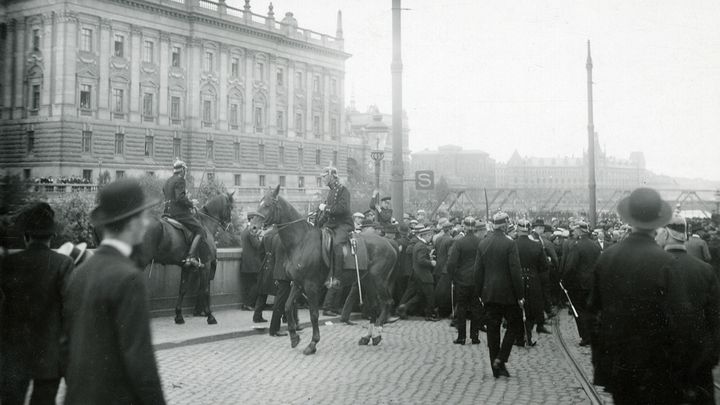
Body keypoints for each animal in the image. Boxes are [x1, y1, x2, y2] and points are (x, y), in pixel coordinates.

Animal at [134, 193, 233, 326]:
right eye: (230, 206)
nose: (228, 225)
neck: (205, 224)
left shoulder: (186, 267)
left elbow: (183, 289)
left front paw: (179, 316)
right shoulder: (206, 265)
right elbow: (205, 289)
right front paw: (210, 316)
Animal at [252, 185, 400, 354]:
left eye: (267, 205)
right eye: (259, 203)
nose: (253, 227)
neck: (301, 241)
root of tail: (389, 242)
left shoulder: (310, 285)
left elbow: (314, 314)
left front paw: (313, 343)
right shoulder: (297, 283)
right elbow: (288, 306)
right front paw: (294, 337)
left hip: (378, 280)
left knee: (387, 302)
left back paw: (378, 334)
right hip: (367, 281)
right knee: (375, 307)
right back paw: (368, 336)